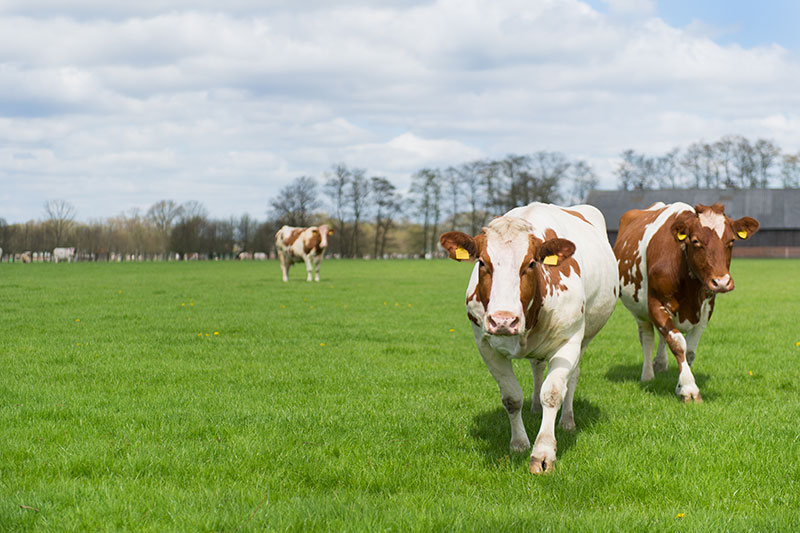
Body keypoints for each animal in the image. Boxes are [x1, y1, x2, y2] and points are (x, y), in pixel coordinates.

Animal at [440, 202, 616, 472]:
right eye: (482, 262)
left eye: (531, 263)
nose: (503, 320)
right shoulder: (486, 346)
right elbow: (512, 398)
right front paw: (519, 444)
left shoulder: (569, 342)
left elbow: (552, 393)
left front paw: (543, 453)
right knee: (537, 367)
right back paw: (534, 407)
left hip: (584, 338)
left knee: (573, 377)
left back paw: (567, 421)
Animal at [616, 202, 760, 402]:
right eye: (696, 241)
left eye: (731, 241)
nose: (721, 282)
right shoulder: (655, 304)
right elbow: (677, 343)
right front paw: (689, 389)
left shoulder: (707, 309)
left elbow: (689, 351)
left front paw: (680, 384)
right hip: (639, 310)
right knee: (647, 337)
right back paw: (647, 375)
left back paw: (660, 363)